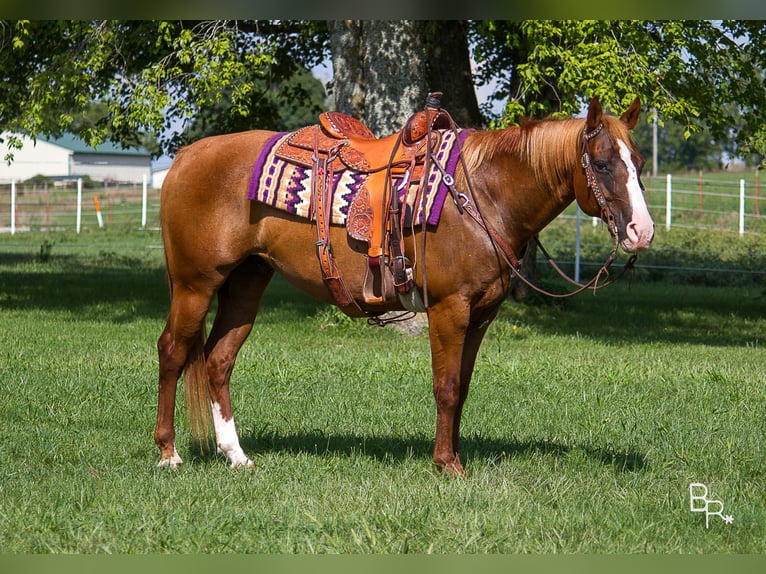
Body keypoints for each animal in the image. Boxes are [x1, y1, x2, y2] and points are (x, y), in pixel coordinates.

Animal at [154, 97, 656, 480]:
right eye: (603, 164)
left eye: (640, 163)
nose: (642, 231)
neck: (484, 195)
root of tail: (184, 157)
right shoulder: (449, 309)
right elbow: (446, 386)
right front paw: (447, 465)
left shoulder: (481, 314)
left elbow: (464, 387)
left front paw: (453, 455)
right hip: (195, 284)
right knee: (173, 351)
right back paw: (168, 454)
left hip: (246, 281)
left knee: (219, 359)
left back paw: (236, 456)